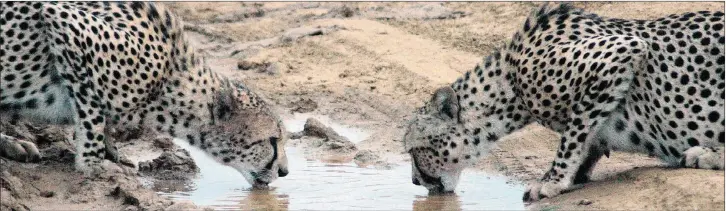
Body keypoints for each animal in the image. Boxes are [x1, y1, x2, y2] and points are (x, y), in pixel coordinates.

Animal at [0, 1, 290, 186]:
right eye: (272, 141)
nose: (285, 172)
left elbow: (102, 121)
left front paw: (112, 152)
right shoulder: (63, 21)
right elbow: (93, 116)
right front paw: (94, 165)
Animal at [406, 3, 724, 201]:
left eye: (412, 150)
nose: (414, 182)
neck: (509, 81)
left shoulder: (621, 52)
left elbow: (572, 136)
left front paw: (551, 182)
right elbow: (584, 137)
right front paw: (573, 172)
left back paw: (705, 153)